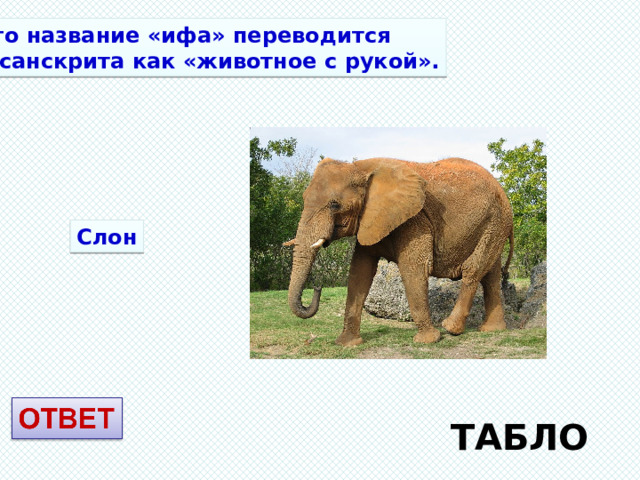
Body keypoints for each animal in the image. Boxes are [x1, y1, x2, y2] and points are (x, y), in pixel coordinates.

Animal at [285, 157, 514, 345]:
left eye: (334, 205)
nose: (318, 287)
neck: (360, 167)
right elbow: (360, 272)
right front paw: (347, 344)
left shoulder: (414, 219)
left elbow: (413, 268)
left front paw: (427, 341)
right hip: (494, 223)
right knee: (491, 276)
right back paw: (491, 330)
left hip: (496, 221)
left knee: (474, 269)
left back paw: (451, 328)